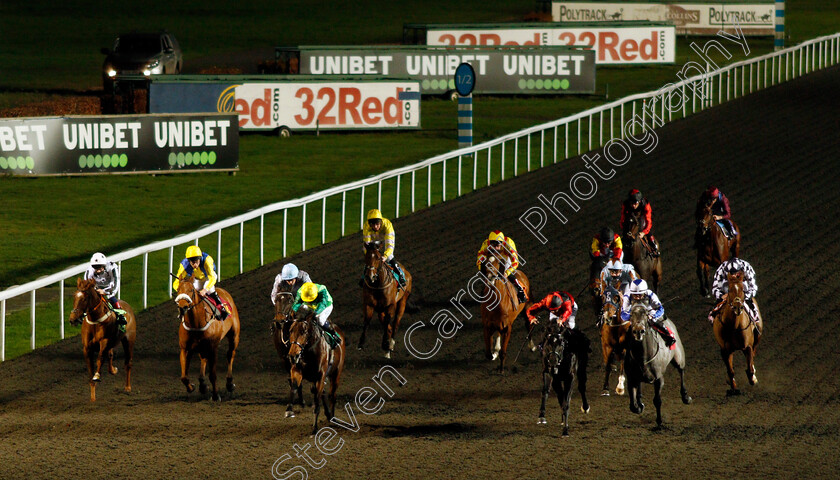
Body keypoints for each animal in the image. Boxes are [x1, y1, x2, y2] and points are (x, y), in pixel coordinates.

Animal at [69, 276, 137, 404]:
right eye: (74, 296)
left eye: (84, 298)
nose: (73, 319)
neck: (95, 320)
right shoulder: (87, 348)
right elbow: (90, 367)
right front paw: (92, 397)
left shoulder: (104, 341)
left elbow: (100, 359)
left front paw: (97, 376)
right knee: (110, 355)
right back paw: (113, 370)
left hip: (129, 340)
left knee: (128, 363)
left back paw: (128, 387)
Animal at [174, 274, 240, 402]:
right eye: (178, 290)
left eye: (191, 290)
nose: (182, 307)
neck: (196, 323)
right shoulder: (185, 349)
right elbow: (184, 376)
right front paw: (192, 387)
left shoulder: (213, 347)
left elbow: (213, 374)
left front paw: (215, 395)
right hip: (202, 346)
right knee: (203, 359)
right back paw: (202, 385)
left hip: (234, 336)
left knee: (230, 354)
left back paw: (229, 383)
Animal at [286, 306, 344, 436]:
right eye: (290, 331)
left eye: (303, 331)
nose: (292, 355)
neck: (308, 351)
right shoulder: (297, 370)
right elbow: (294, 387)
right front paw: (289, 410)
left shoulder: (320, 376)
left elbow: (317, 401)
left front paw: (315, 428)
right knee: (322, 392)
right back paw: (328, 414)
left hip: (336, 373)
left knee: (332, 394)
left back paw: (332, 417)